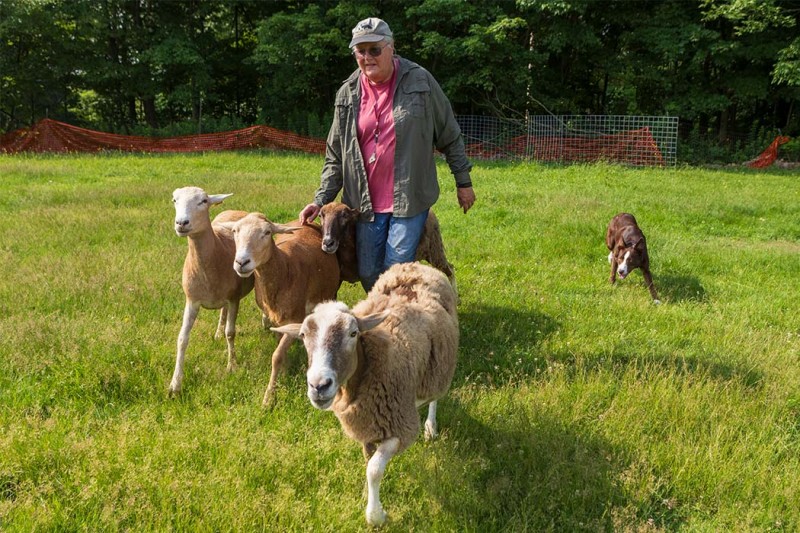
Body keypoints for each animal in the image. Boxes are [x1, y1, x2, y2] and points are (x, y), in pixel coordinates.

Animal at [170, 185, 255, 392]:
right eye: (175, 200)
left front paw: (232, 366)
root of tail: (234, 210)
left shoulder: (234, 298)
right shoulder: (192, 300)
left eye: (203, 201)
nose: (181, 223)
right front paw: (175, 384)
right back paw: (217, 332)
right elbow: (182, 338)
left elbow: (231, 333)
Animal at [222, 210, 340, 406]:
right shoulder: (275, 319)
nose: (241, 262)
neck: (285, 269)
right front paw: (284, 373)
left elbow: (276, 356)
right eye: (234, 231)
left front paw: (269, 398)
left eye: (267, 232)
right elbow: (279, 346)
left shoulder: (295, 318)